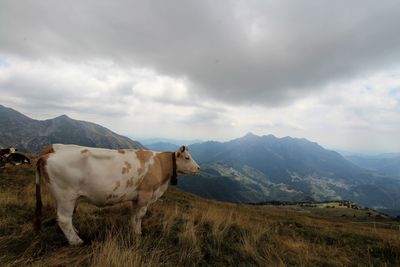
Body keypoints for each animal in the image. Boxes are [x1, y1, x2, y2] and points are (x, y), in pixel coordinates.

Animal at [35, 146, 200, 246]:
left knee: (65, 218)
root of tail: (49, 154)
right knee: (64, 219)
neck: (159, 164)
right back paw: (76, 241)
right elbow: (140, 215)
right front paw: (138, 233)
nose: (198, 168)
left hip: (63, 197)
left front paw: (132, 228)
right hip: (66, 196)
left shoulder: (137, 197)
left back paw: (75, 232)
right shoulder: (146, 194)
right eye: (187, 157)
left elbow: (134, 214)